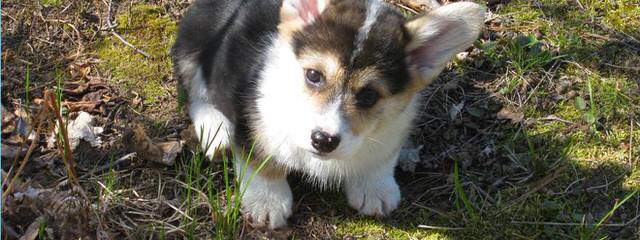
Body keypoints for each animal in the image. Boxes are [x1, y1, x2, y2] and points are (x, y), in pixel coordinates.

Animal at [172, 0, 482, 229]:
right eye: (313, 75)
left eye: (369, 96)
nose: (323, 140)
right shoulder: (250, 117)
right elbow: (261, 160)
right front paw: (267, 202)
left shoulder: (393, 128)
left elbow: (381, 157)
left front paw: (376, 188)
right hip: (193, 46)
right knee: (196, 93)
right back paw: (215, 130)